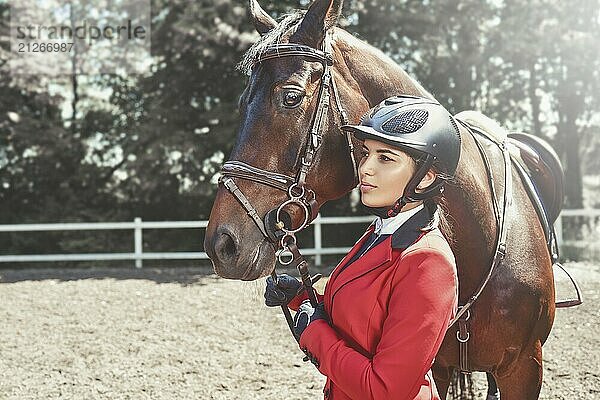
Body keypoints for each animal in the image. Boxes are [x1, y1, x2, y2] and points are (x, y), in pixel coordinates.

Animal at [204, 1, 556, 398]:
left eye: (290, 97)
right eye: (243, 101)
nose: (222, 244)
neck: (475, 239)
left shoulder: (525, 367)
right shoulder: (436, 367)